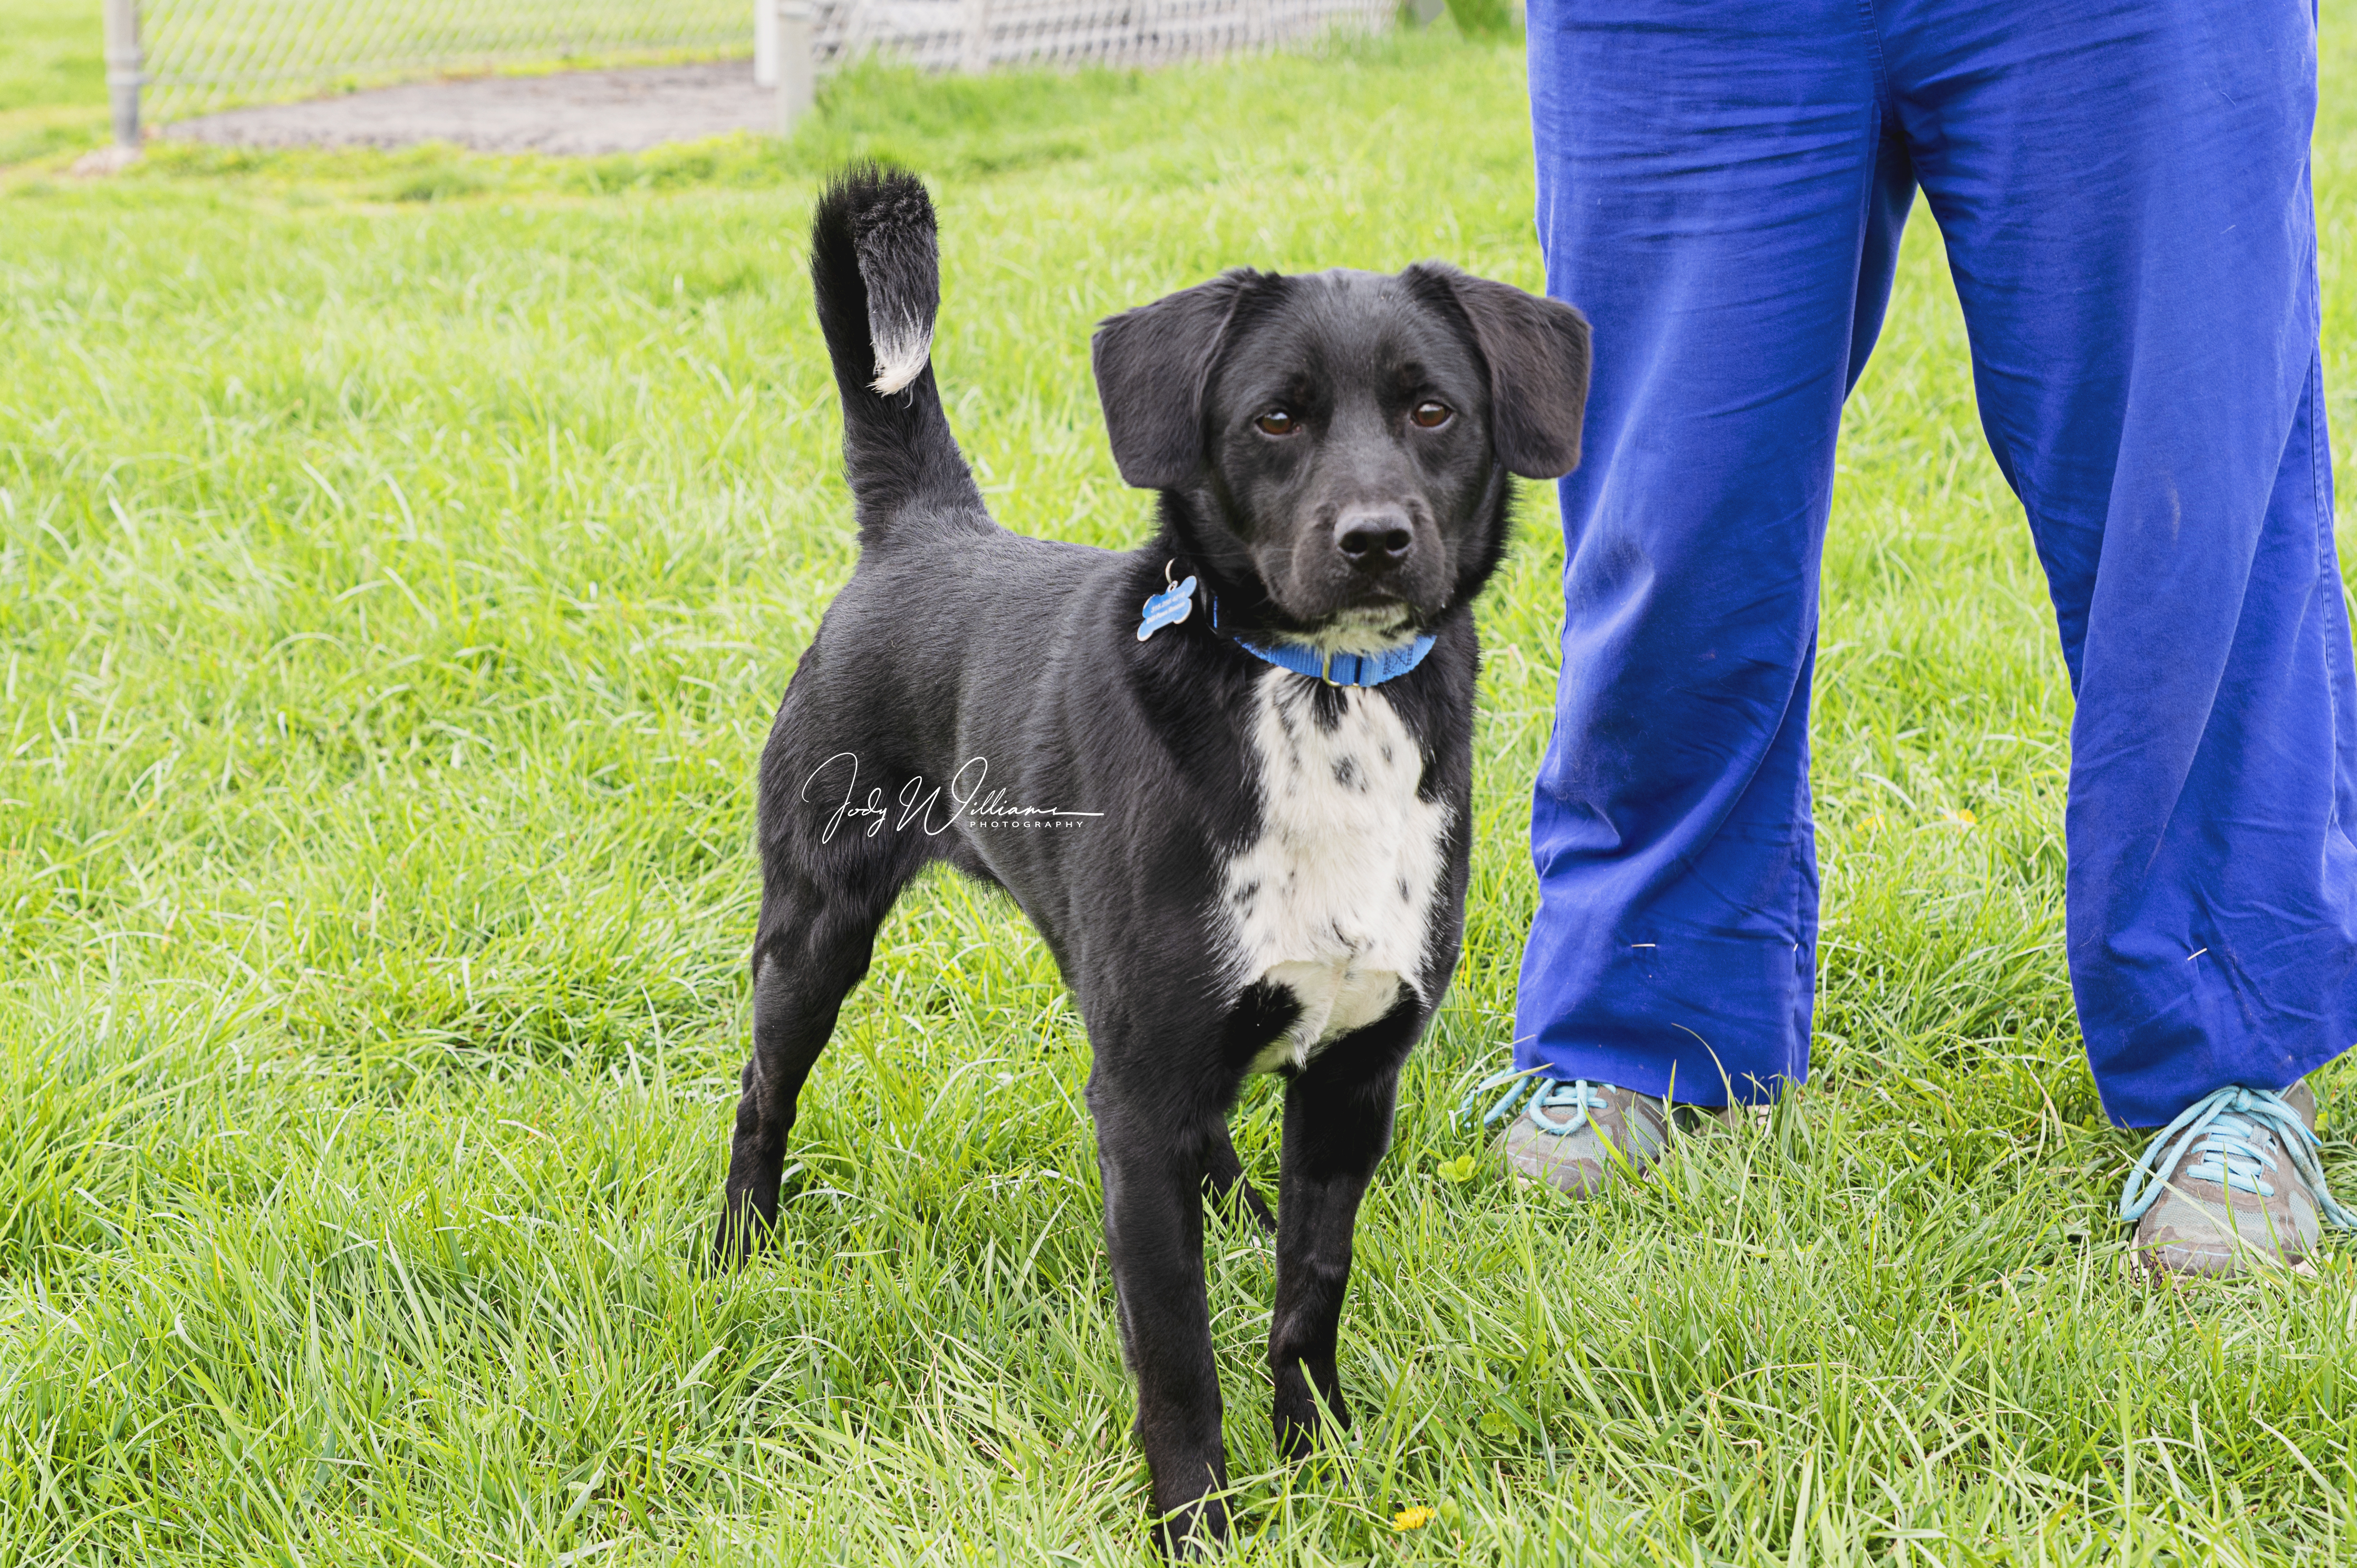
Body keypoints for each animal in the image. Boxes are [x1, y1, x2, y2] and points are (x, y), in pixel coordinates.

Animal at [716, 168, 1593, 1537]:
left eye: (1432, 409)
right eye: (1275, 418)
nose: (1375, 538)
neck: (1323, 703)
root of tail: (922, 528)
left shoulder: (1352, 1076)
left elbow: (1308, 1290)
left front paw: (1319, 1457)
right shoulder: (1133, 1104)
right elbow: (1175, 1351)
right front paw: (1196, 1523)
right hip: (815, 927)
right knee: (764, 1091)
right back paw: (738, 1254)